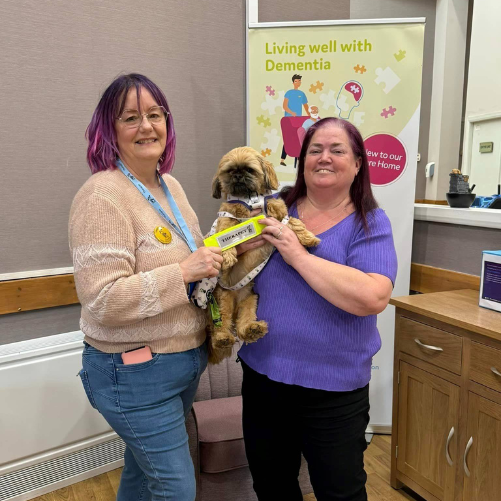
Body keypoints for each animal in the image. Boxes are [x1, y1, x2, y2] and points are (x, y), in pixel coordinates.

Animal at [206, 146, 316, 362]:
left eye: (249, 170)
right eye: (230, 171)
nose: (238, 175)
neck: (250, 200)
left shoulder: (278, 216)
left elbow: (293, 222)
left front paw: (308, 237)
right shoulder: (227, 217)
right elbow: (224, 232)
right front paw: (228, 255)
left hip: (250, 301)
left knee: (243, 324)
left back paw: (252, 329)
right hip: (222, 301)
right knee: (221, 326)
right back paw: (222, 338)